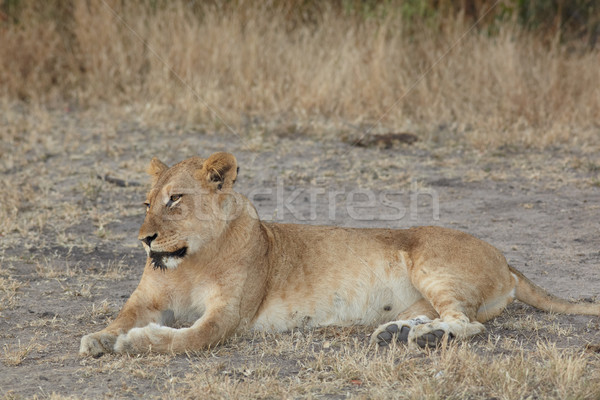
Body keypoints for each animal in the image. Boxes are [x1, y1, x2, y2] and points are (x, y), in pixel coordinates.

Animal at [81, 152, 600, 354]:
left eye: (176, 200)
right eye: (146, 203)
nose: (145, 239)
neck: (190, 260)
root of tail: (508, 261)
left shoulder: (228, 315)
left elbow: (186, 338)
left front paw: (135, 342)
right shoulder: (146, 299)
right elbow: (120, 317)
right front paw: (100, 338)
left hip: (432, 263)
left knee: (467, 323)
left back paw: (426, 338)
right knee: (447, 316)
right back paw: (399, 332)